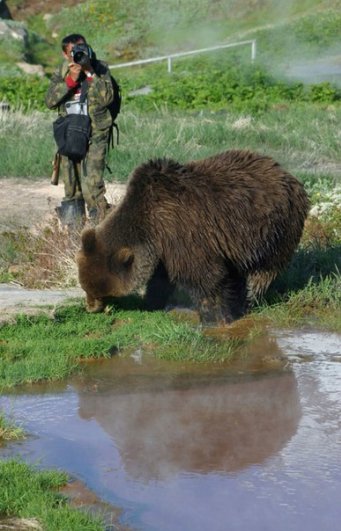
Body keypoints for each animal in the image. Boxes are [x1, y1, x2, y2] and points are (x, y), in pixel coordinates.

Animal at [76, 151, 308, 324]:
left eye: (95, 289)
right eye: (85, 286)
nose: (91, 307)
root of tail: (290, 176)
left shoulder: (184, 233)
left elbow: (204, 276)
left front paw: (215, 316)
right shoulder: (164, 248)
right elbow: (161, 279)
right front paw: (151, 301)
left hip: (273, 229)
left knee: (263, 270)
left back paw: (248, 298)